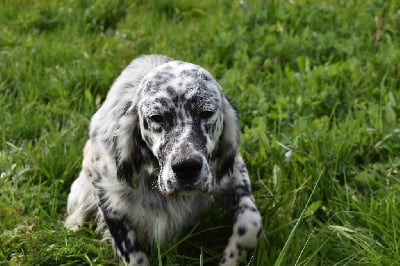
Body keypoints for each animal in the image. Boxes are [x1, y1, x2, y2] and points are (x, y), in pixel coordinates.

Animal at [65, 55, 262, 264]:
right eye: (156, 117)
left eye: (206, 113)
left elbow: (251, 223)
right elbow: (130, 250)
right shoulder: (104, 186)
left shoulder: (233, 171)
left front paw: (230, 259)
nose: (186, 168)